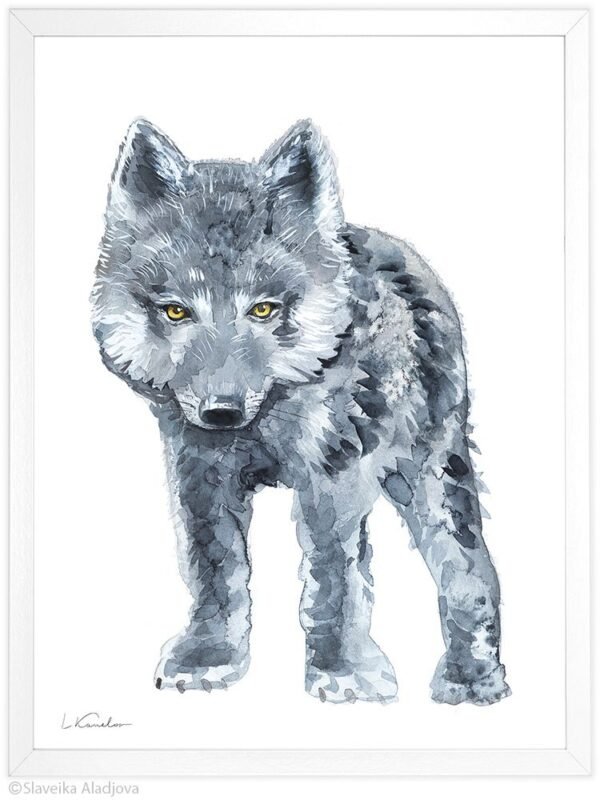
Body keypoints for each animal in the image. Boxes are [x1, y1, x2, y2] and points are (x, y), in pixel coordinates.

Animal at [92, 118, 510, 705]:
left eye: (263, 309)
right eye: (175, 311)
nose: (221, 412)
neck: (267, 418)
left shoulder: (330, 480)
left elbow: (333, 582)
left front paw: (341, 670)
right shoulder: (198, 474)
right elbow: (214, 572)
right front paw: (210, 657)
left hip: (426, 476)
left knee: (469, 571)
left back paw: (473, 678)